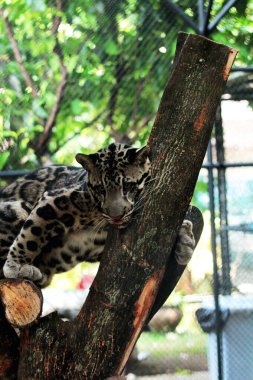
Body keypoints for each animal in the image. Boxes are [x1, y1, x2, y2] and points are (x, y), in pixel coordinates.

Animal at [0, 144, 195, 286]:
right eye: (101, 189)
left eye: (128, 186)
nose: (116, 216)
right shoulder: (53, 201)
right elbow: (31, 235)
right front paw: (16, 266)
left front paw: (185, 240)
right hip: (16, 208)